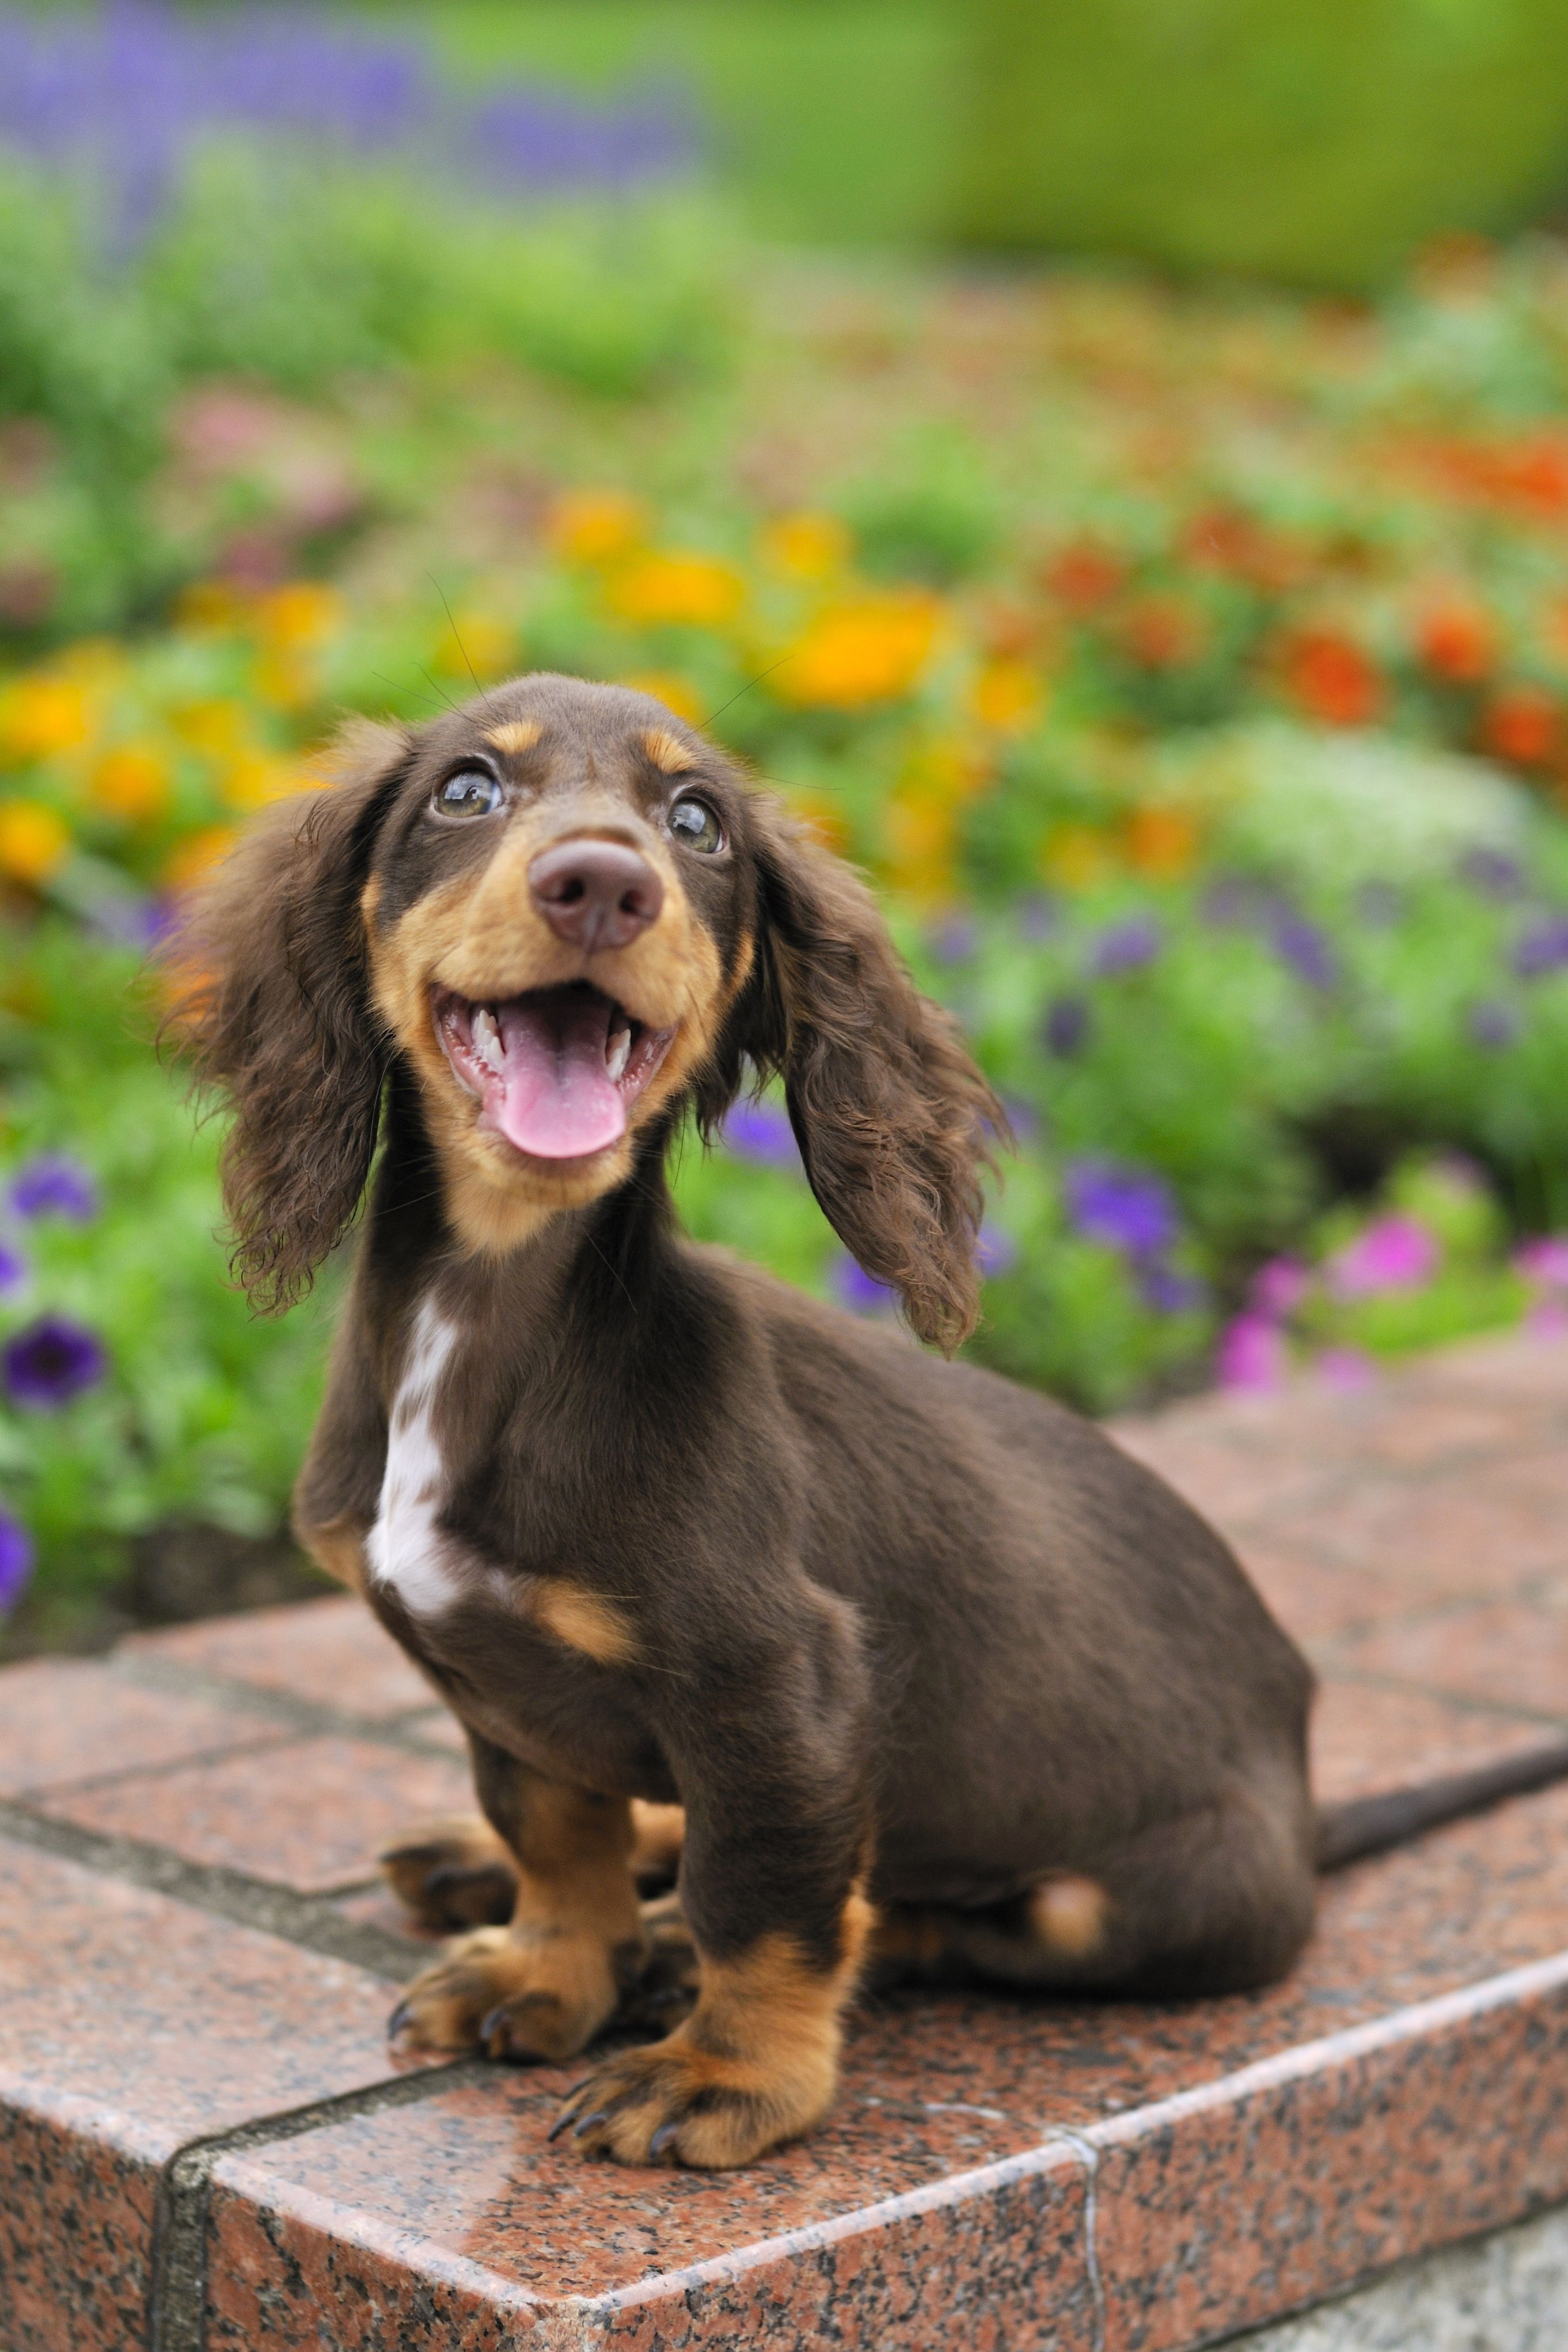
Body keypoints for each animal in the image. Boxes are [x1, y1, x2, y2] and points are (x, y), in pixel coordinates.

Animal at [177, 677, 1561, 2164]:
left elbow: (766, 1900)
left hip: (1126, 1899)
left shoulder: (786, 1684)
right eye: (467, 789)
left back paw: (680, 1947)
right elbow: (558, 1835)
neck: (497, 1311)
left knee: (913, 1907)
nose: (602, 884)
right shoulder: (500, 1684)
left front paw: (720, 2071)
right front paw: (550, 1965)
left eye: (696, 820)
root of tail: (1304, 1788)